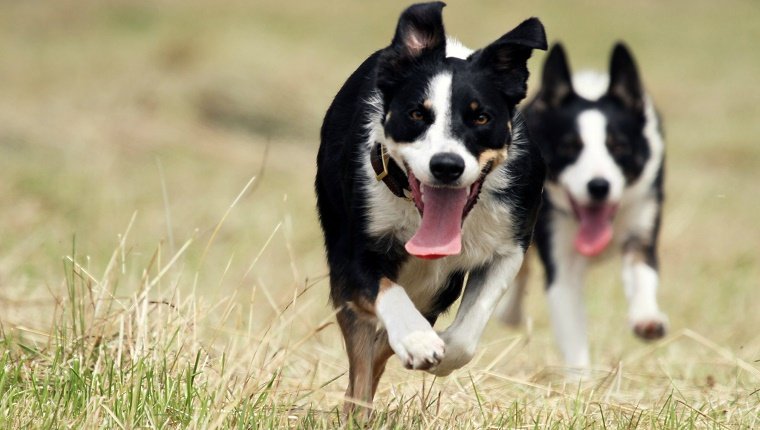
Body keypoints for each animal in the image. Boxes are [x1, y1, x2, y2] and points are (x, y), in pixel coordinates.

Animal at [314, 2, 548, 410]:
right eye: (416, 115)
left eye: (481, 117)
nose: (446, 165)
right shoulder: (353, 255)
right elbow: (387, 293)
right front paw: (417, 340)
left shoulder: (510, 245)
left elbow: (469, 330)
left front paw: (444, 353)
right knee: (362, 365)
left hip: (436, 289)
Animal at [498, 42, 664, 368]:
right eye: (569, 147)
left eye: (619, 146)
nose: (598, 186)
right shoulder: (561, 260)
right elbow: (572, 334)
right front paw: (582, 379)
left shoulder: (641, 226)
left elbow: (643, 273)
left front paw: (647, 319)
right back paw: (509, 313)